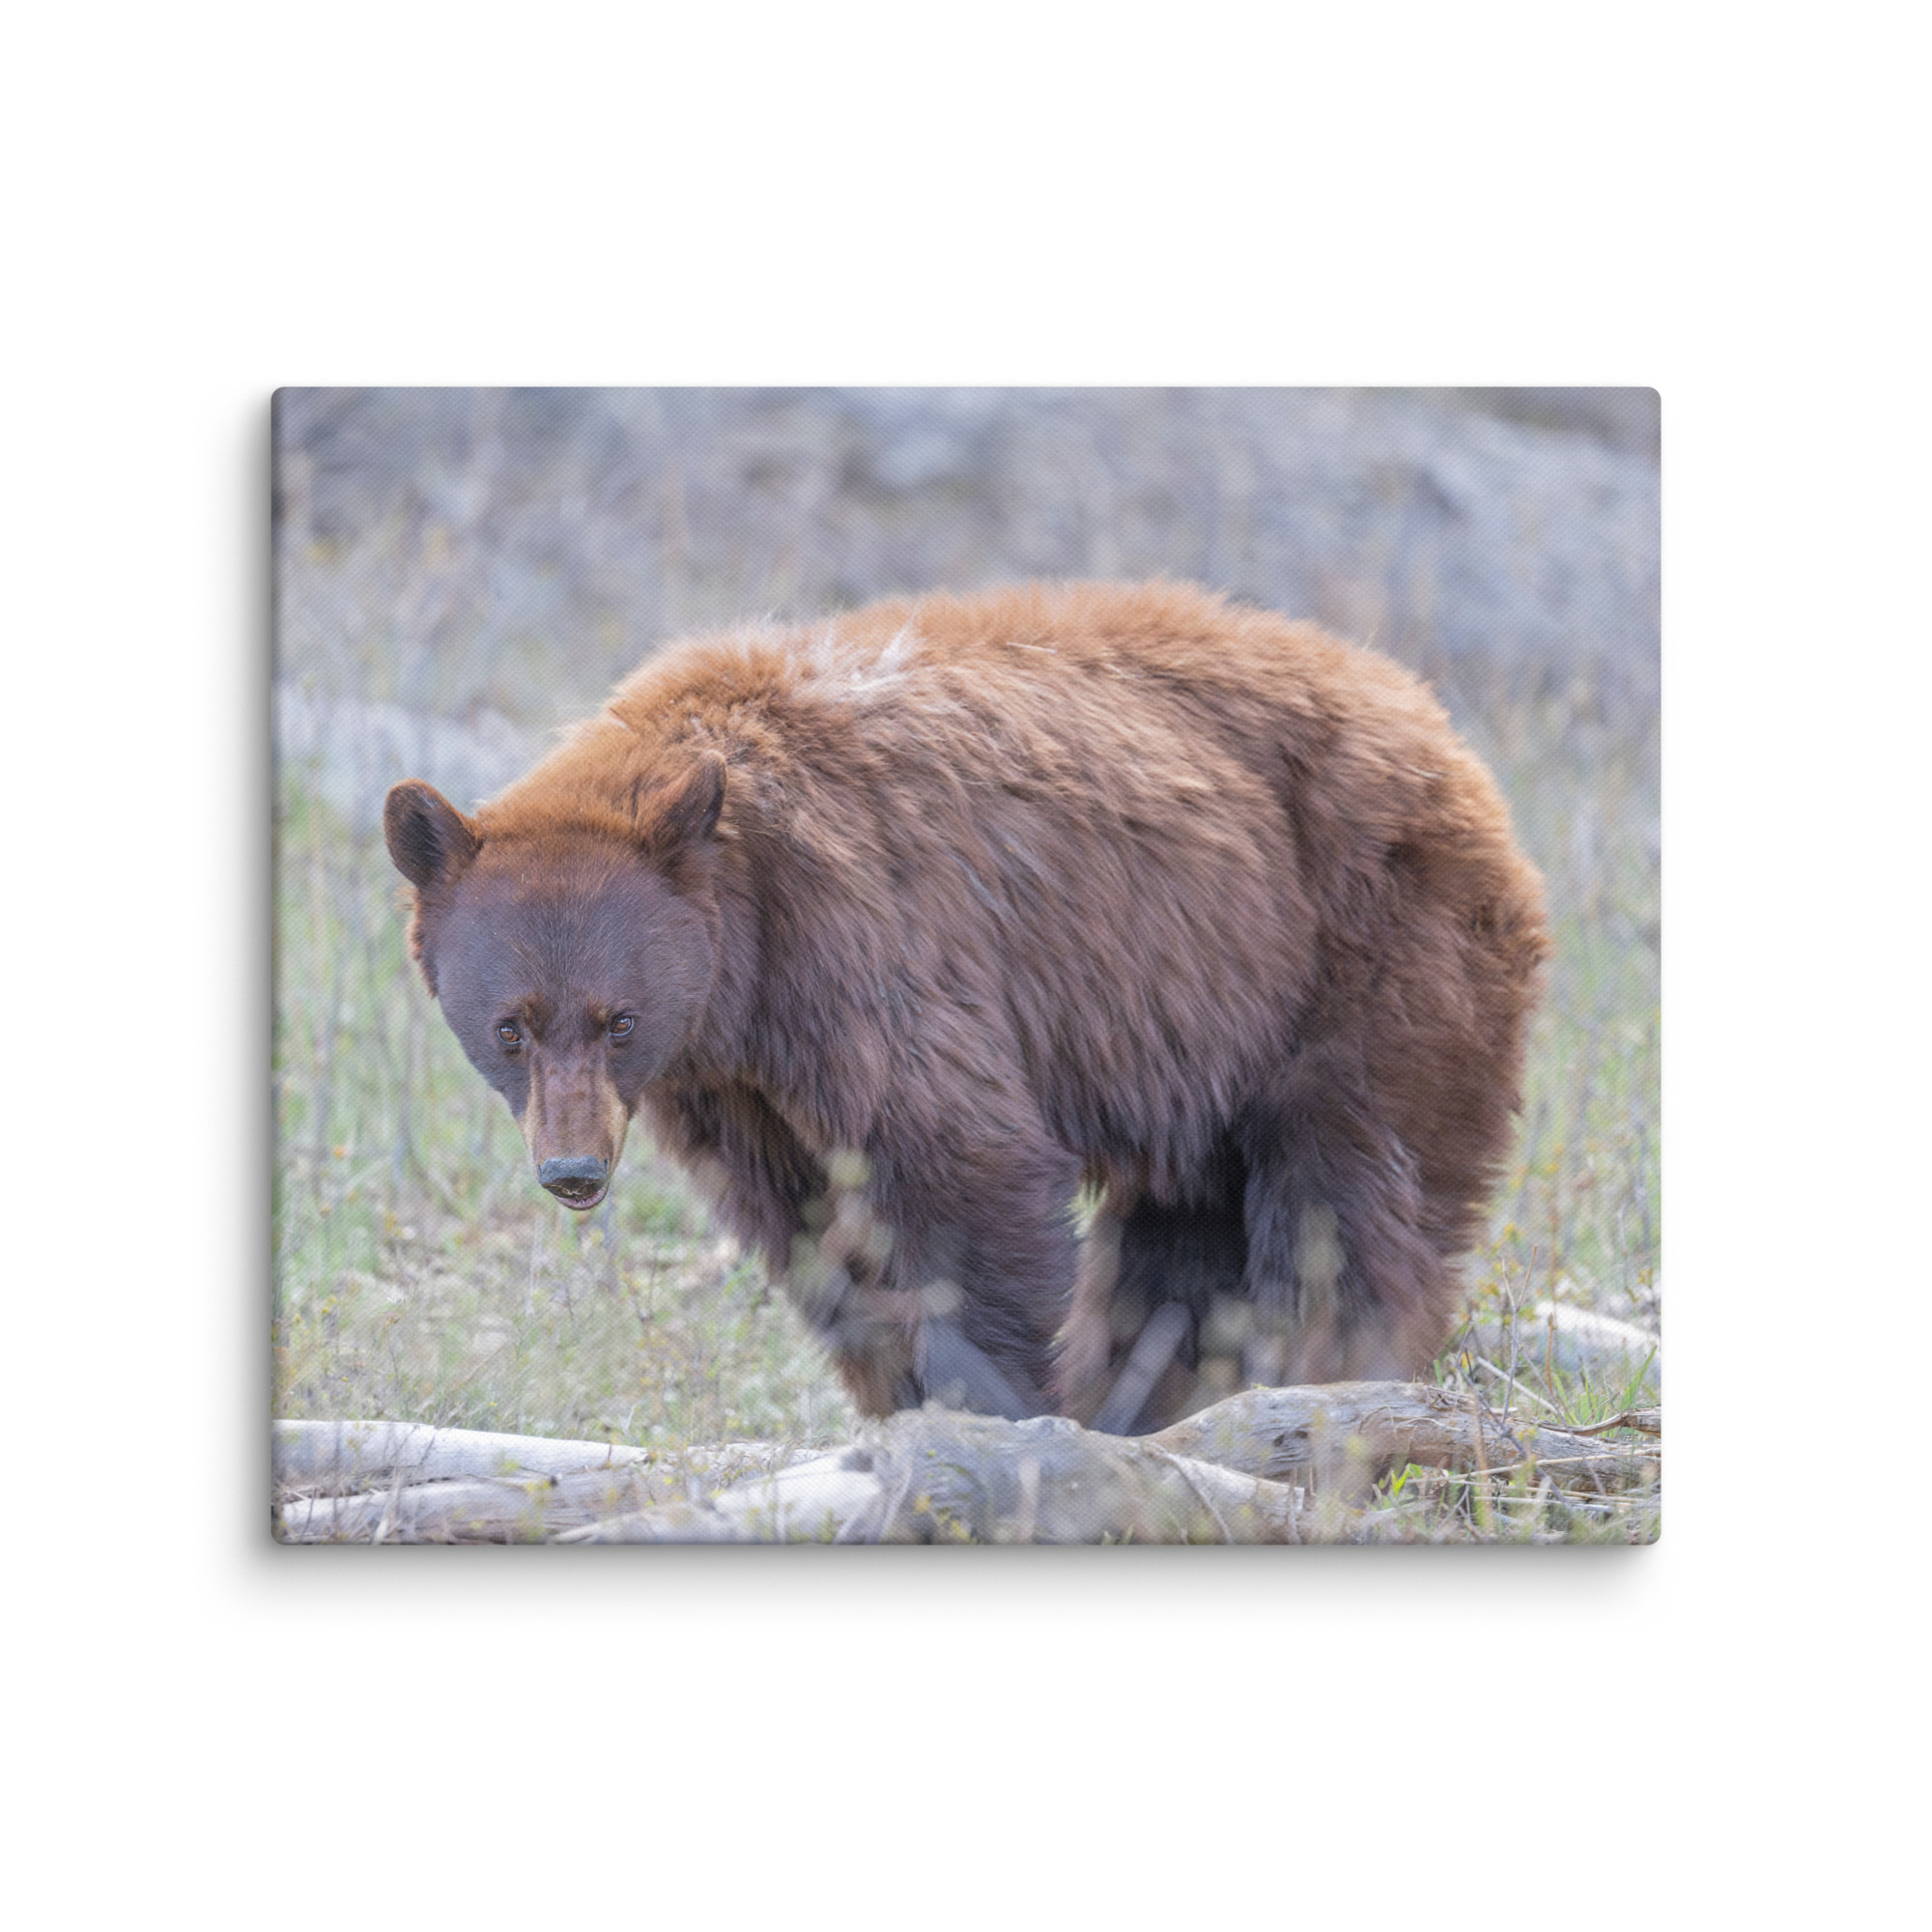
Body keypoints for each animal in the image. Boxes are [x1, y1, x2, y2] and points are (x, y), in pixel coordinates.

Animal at [384, 581, 1548, 1434]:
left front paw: (993, 1406)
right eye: (510, 1027)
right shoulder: (734, 1082)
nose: (572, 1171)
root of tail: (1437, 725)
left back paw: (1320, 1373)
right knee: (1184, 1231)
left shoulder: (866, 944)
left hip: (1363, 950)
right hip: (1209, 1028)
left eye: (617, 1018)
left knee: (1348, 1192)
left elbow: (959, 1168)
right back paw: (1159, 1393)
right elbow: (812, 1225)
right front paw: (902, 1398)